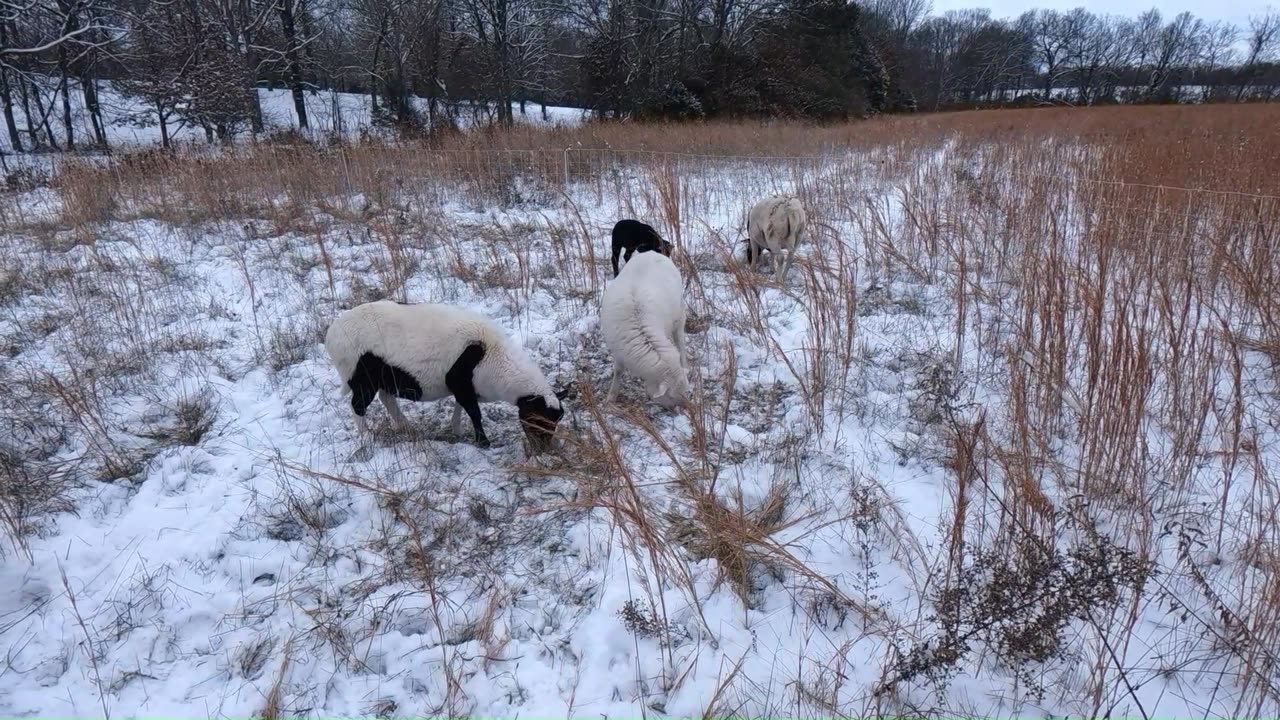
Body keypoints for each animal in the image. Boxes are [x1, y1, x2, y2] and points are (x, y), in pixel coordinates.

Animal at [325, 299, 570, 450]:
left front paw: (457, 431)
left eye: (555, 421)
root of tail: (331, 334)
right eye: (536, 417)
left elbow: (461, 407)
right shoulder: (460, 382)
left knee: (387, 398)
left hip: (385, 377)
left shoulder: (464, 386)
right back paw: (366, 437)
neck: (493, 356)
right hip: (362, 378)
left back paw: (407, 428)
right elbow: (474, 413)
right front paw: (483, 443)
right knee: (358, 407)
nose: (544, 450)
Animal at [599, 249, 691, 407]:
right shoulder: (618, 351)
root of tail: (651, 251)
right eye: (670, 396)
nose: (681, 409)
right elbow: (618, 371)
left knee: (681, 344)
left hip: (679, 316)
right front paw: (611, 396)